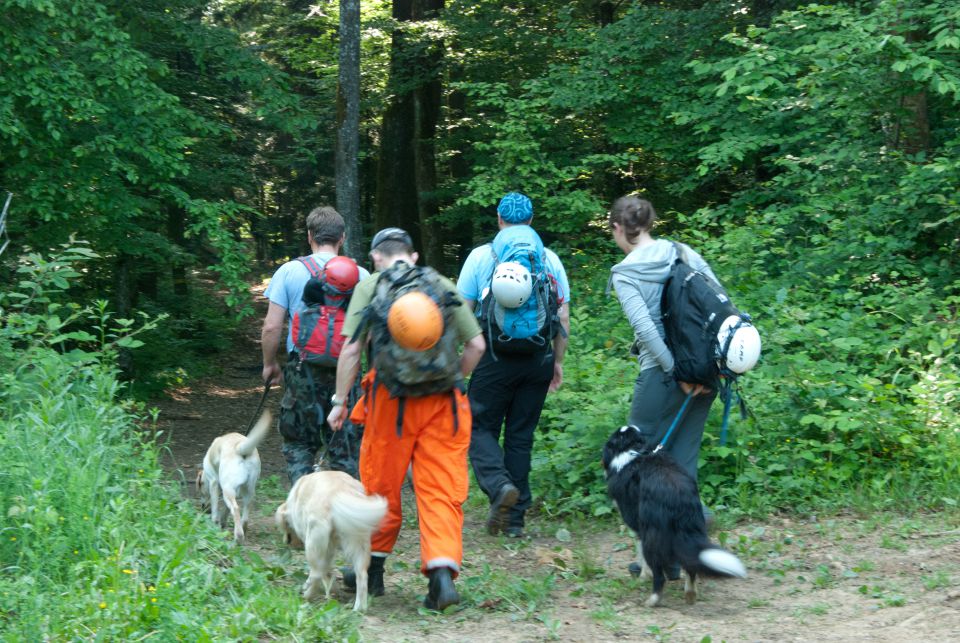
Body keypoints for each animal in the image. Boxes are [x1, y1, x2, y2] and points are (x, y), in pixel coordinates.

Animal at [195, 412, 270, 544]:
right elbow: (225, 510)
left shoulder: (214, 484)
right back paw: (243, 531)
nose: (203, 508)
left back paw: (238, 536)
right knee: (245, 514)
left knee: (235, 509)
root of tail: (239, 448)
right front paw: (222, 522)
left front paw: (214, 523)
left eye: (200, 492)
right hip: (248, 491)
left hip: (228, 490)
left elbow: (215, 507)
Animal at [274, 470, 386, 612]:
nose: (287, 542)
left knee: (316, 573)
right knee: (362, 576)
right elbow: (328, 572)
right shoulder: (330, 549)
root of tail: (338, 494)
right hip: (359, 543)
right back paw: (358, 608)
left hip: (313, 544)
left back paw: (306, 593)